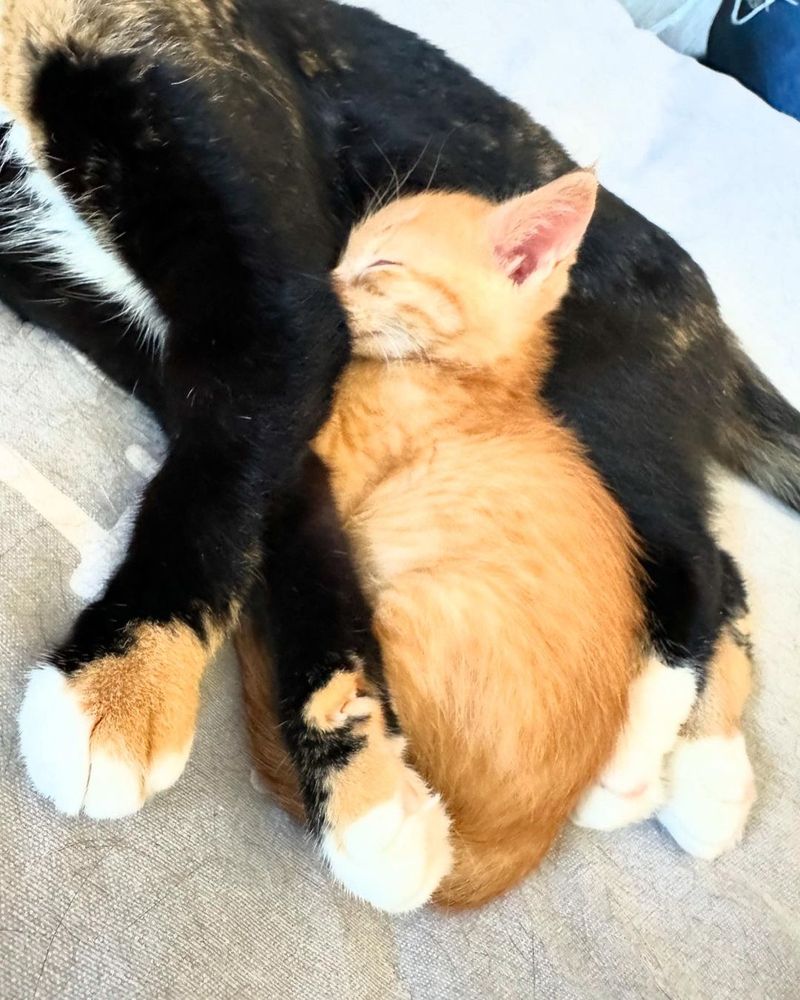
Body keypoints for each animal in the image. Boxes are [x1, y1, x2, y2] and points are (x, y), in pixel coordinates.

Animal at [236, 172, 644, 908]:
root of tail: (516, 841)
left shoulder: (329, 456)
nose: (323, 286)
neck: (467, 384)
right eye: (345, 252)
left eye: (380, 264)